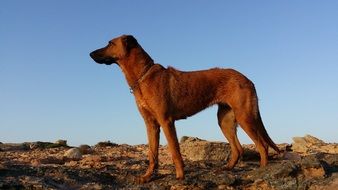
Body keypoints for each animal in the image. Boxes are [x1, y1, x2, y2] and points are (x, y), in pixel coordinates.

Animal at [90, 34, 280, 183]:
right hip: (225, 120)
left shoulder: (166, 122)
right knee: (238, 149)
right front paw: (148, 177)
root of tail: (248, 79)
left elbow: (175, 151)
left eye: (110, 43)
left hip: (245, 117)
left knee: (262, 146)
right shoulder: (151, 124)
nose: (90, 53)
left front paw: (180, 176)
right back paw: (226, 169)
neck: (143, 76)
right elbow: (152, 154)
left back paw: (262, 171)